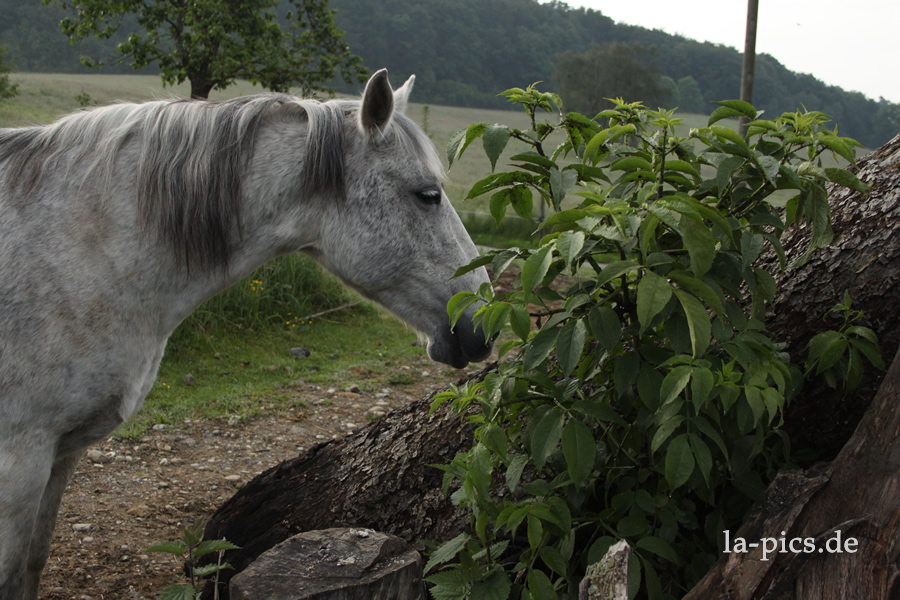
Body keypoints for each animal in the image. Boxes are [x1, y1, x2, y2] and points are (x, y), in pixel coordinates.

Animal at [0, 71, 492, 600]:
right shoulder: (20, 458)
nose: (484, 320)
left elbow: (33, 563)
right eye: (427, 194)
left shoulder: (62, 455)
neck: (77, 252)